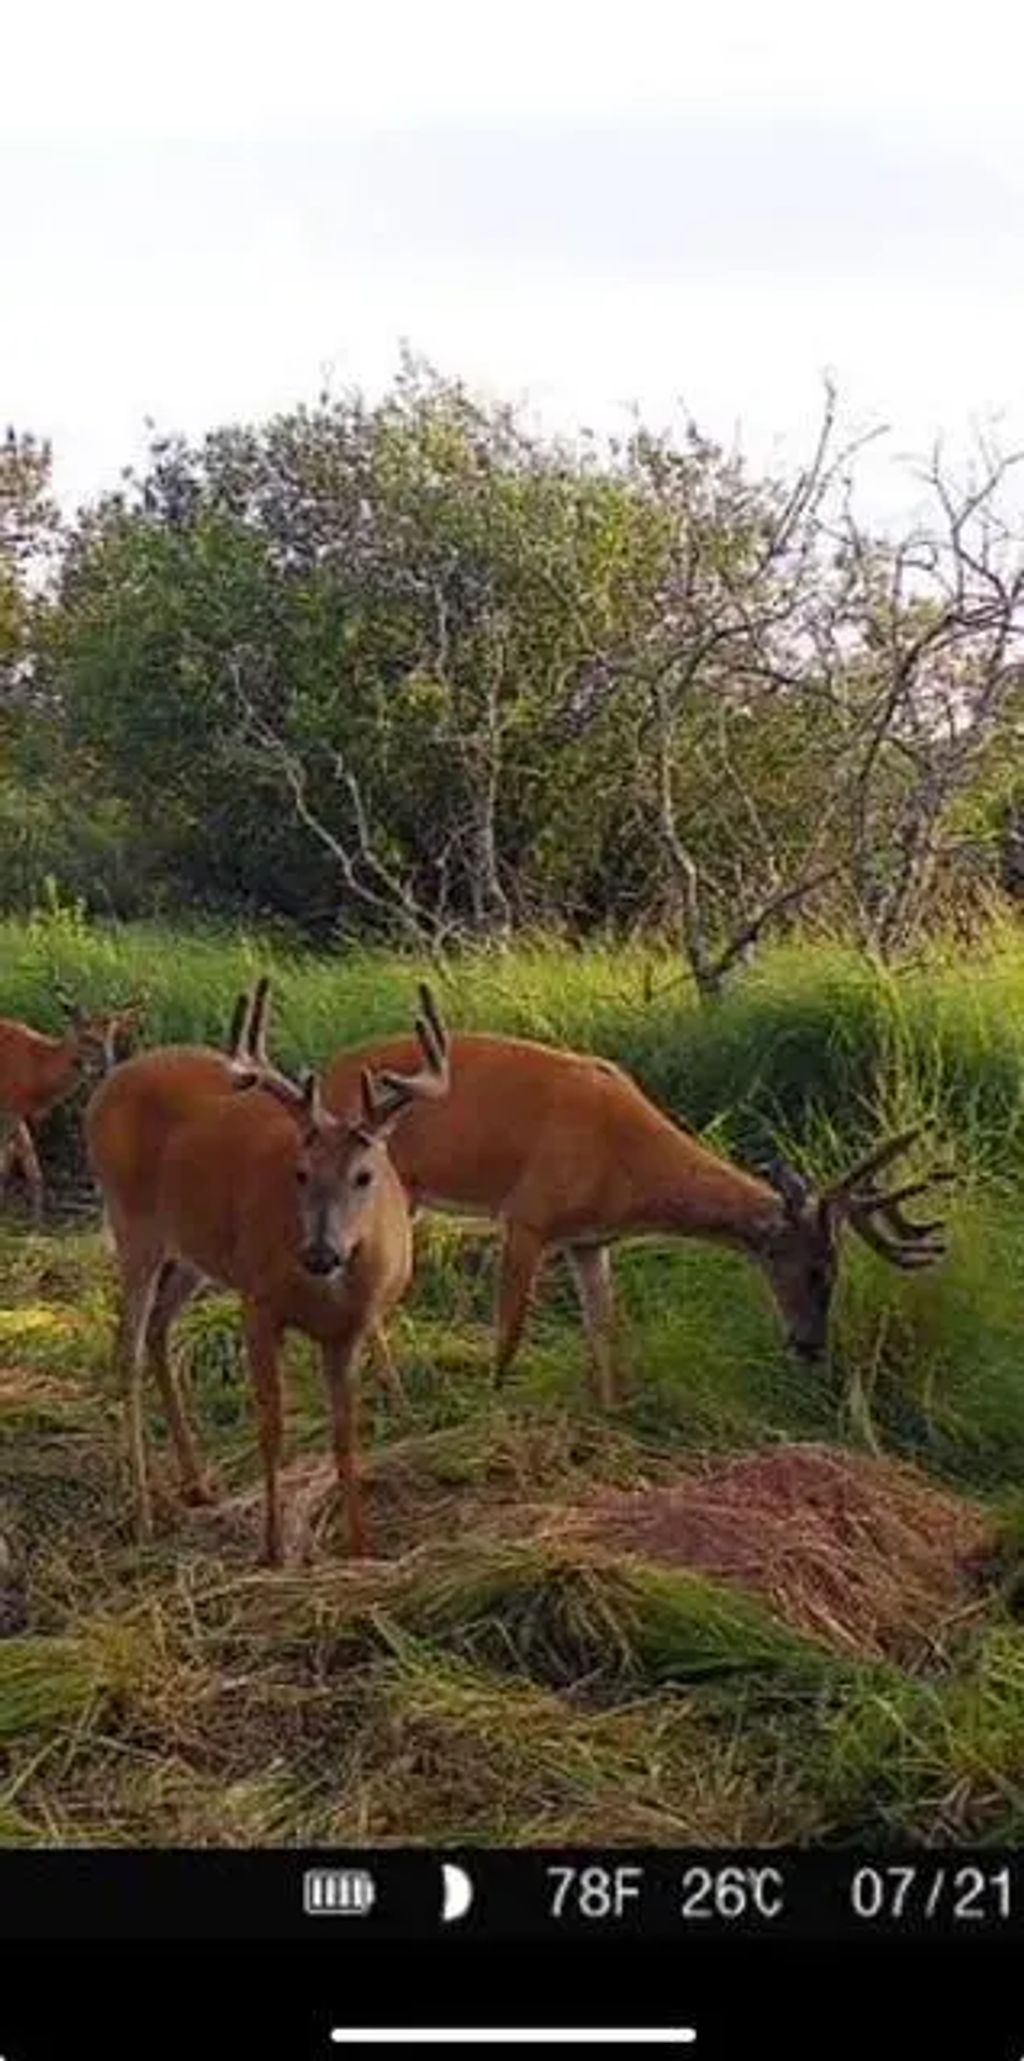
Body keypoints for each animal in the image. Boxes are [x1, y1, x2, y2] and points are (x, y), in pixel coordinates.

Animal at [0, 988, 146, 1222]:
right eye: (87, 1037)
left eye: (112, 1037)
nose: (108, 1067)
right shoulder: (10, 1105)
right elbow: (23, 1161)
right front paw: (34, 1217)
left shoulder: (14, 1109)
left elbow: (18, 1160)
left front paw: (30, 1215)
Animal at [86, 981, 450, 1565]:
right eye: (299, 1173)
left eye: (364, 1175)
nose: (320, 1253)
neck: (328, 1290)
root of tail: (110, 1080)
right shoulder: (258, 1301)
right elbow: (271, 1424)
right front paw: (274, 1546)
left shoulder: (349, 1330)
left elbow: (345, 1431)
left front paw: (360, 1544)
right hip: (132, 1221)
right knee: (127, 1351)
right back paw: (143, 1514)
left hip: (192, 1250)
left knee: (160, 1328)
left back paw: (196, 1483)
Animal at [317, 1025, 954, 1407]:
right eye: (816, 1270)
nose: (811, 1347)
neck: (624, 1163)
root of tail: (323, 1076)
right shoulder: (527, 1214)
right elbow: (511, 1329)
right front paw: (495, 1401)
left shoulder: (588, 1238)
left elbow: (604, 1325)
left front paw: (611, 1408)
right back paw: (394, 1392)